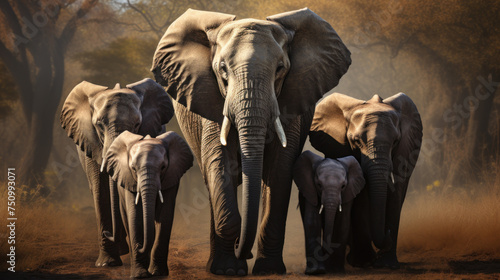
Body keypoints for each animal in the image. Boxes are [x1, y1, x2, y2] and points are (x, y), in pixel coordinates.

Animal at [60, 77, 174, 266]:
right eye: (99, 125)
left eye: (137, 124)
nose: (109, 234)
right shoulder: (91, 143)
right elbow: (100, 190)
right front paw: (107, 263)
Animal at [101, 131, 193, 278]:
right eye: (133, 168)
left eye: (163, 167)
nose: (105, 232)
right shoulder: (130, 181)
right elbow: (136, 218)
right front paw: (140, 275)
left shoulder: (171, 178)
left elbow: (165, 217)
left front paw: (158, 273)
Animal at [150, 7, 350, 276]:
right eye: (222, 69)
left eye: (280, 68)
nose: (244, 251)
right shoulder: (212, 100)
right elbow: (220, 164)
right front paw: (229, 270)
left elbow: (279, 169)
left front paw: (269, 270)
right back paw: (216, 265)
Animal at [308, 92, 422, 270]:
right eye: (356, 141)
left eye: (395, 141)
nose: (387, 234)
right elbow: (361, 195)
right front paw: (364, 262)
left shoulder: (406, 148)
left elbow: (397, 190)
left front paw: (387, 264)